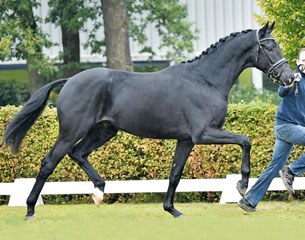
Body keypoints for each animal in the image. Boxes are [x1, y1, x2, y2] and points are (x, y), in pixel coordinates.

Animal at [4, 22, 294, 219]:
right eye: (269, 47)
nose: (290, 78)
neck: (204, 80)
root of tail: (70, 81)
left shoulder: (186, 140)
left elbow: (175, 174)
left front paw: (172, 210)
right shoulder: (204, 134)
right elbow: (245, 140)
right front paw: (242, 185)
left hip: (104, 131)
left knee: (78, 153)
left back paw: (99, 191)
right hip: (72, 131)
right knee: (49, 163)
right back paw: (30, 209)